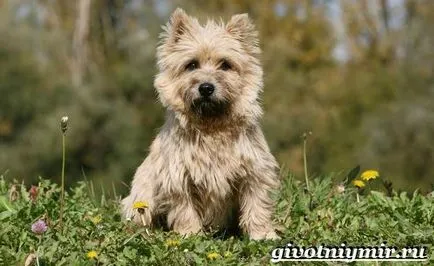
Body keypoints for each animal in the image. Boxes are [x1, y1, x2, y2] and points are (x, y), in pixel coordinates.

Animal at [120, 8, 280, 241]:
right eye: (192, 65)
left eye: (225, 65)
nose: (206, 88)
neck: (212, 127)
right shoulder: (178, 178)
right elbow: (185, 210)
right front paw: (190, 234)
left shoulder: (254, 173)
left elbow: (256, 205)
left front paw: (263, 234)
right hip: (142, 198)